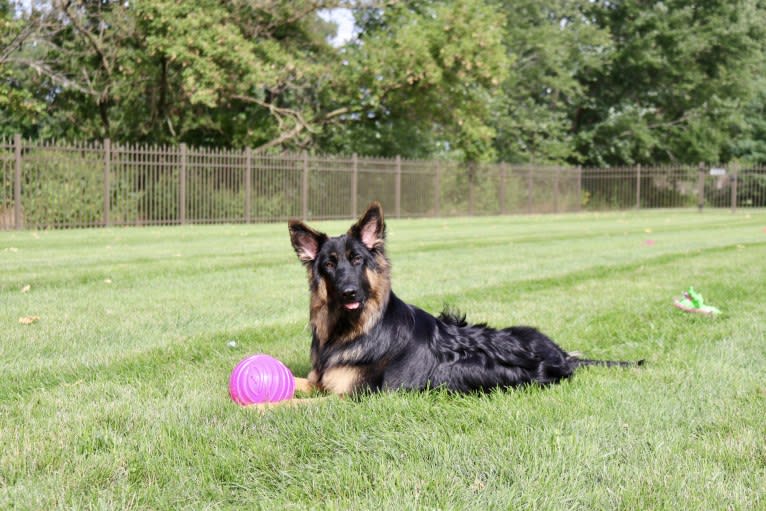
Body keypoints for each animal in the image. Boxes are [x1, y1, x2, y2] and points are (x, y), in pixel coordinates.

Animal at [288, 202, 640, 398]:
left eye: (357, 260)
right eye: (329, 265)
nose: (349, 292)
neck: (352, 330)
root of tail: (562, 355)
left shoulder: (348, 398)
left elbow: (291, 404)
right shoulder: (319, 383)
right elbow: (294, 383)